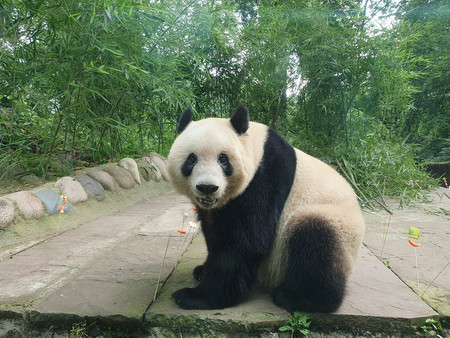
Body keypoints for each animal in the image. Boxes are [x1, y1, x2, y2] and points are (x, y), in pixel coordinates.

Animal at [167, 105, 364, 312]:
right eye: (191, 160)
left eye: (223, 160)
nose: (207, 188)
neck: (256, 146)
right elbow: (214, 233)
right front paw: (202, 270)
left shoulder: (266, 177)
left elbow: (246, 241)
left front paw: (195, 296)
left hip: (332, 223)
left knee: (314, 242)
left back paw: (298, 298)